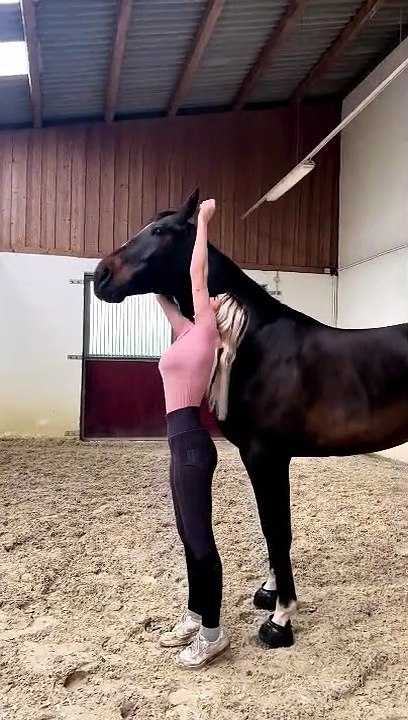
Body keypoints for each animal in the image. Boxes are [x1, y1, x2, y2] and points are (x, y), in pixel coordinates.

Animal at [93, 188, 408, 648]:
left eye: (159, 231)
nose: (101, 274)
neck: (256, 343)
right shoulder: (261, 459)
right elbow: (272, 527)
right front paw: (270, 593)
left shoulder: (267, 456)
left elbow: (277, 529)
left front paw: (280, 619)